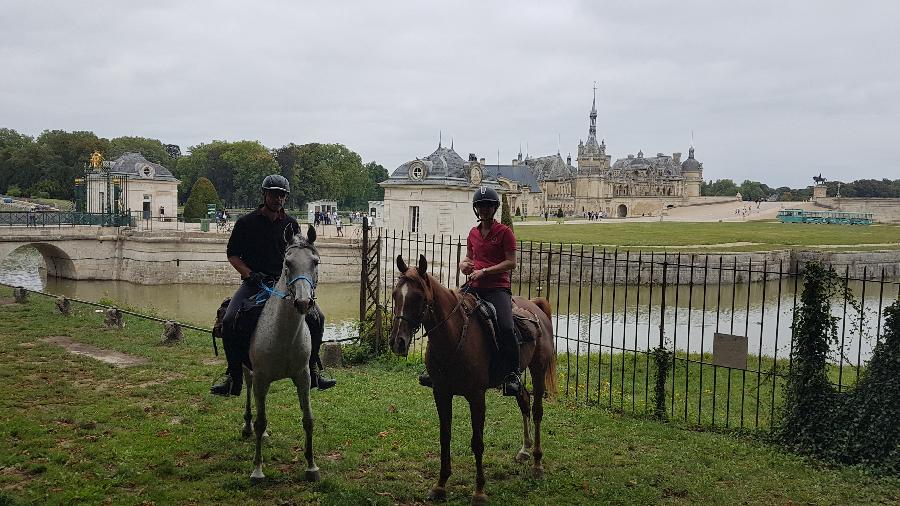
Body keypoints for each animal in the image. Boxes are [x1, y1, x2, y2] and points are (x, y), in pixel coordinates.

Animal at [241, 226, 322, 482]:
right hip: (249, 372)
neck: (283, 335)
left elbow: (308, 419)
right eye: (288, 262)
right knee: (249, 389)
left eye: (315, 262)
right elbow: (260, 420)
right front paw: (257, 470)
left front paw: (311, 466)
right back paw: (246, 427)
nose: (304, 302)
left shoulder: (303, 376)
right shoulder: (261, 377)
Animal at [388, 255, 556, 504]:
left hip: (537, 370)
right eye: (394, 295)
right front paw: (440, 485)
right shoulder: (441, 393)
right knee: (524, 400)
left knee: (536, 411)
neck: (454, 335)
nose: (397, 342)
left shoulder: (477, 397)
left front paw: (479, 490)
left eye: (418, 297)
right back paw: (524, 451)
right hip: (515, 379)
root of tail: (535, 305)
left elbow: (477, 442)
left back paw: (537, 462)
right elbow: (445, 436)